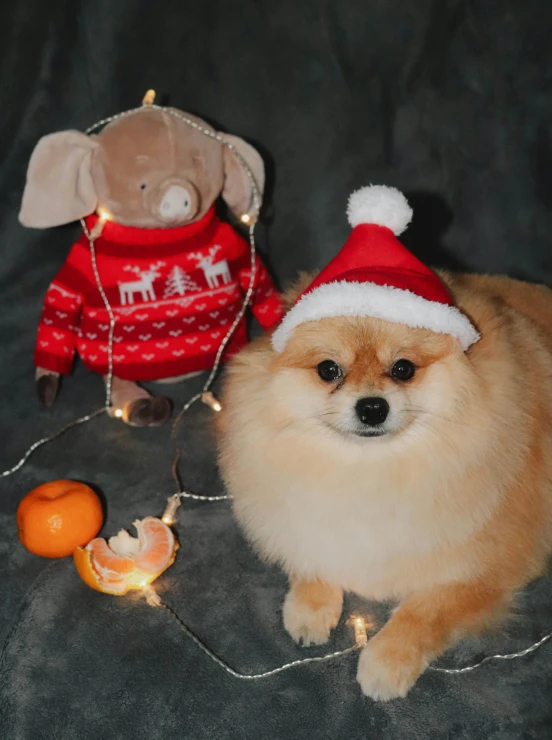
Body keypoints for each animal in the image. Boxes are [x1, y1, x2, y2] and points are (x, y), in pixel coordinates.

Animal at [216, 186, 552, 700]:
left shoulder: (490, 565)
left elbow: (427, 610)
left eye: (404, 369)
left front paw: (386, 661)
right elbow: (311, 550)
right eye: (328, 369)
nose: (372, 407)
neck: (371, 470)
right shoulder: (303, 509)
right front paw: (309, 606)